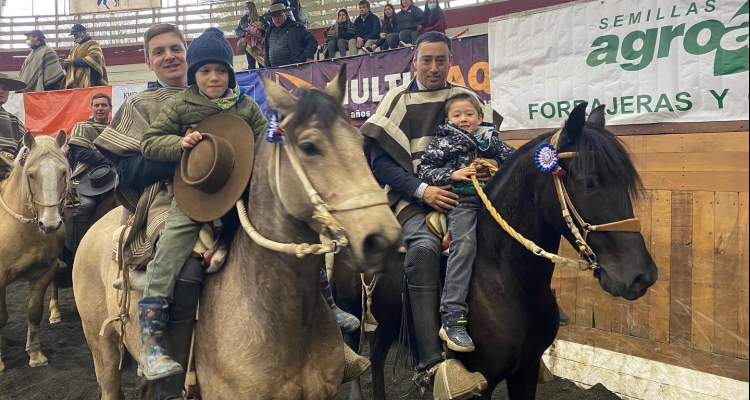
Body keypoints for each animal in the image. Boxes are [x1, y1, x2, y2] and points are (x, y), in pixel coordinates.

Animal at [0, 131, 70, 372]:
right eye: (30, 175)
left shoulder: (44, 272)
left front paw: (35, 354)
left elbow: (34, 311)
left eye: (63, 171)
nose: (49, 224)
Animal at [334, 103, 656, 400]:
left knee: (376, 355)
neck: (503, 277)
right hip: (353, 313)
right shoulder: (483, 382)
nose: (642, 276)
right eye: (590, 183)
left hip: (386, 319)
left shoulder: (526, 371)